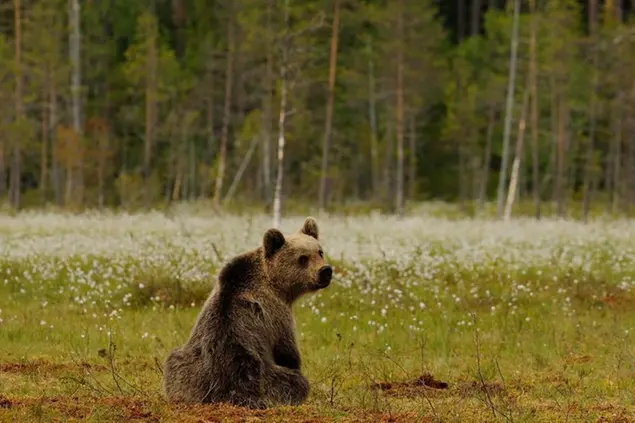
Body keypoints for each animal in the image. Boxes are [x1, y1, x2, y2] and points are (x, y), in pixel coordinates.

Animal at [163, 217, 332, 410]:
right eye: (303, 258)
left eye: (320, 252)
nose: (325, 271)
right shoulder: (277, 313)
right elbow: (287, 352)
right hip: (262, 378)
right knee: (295, 382)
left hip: (188, 370)